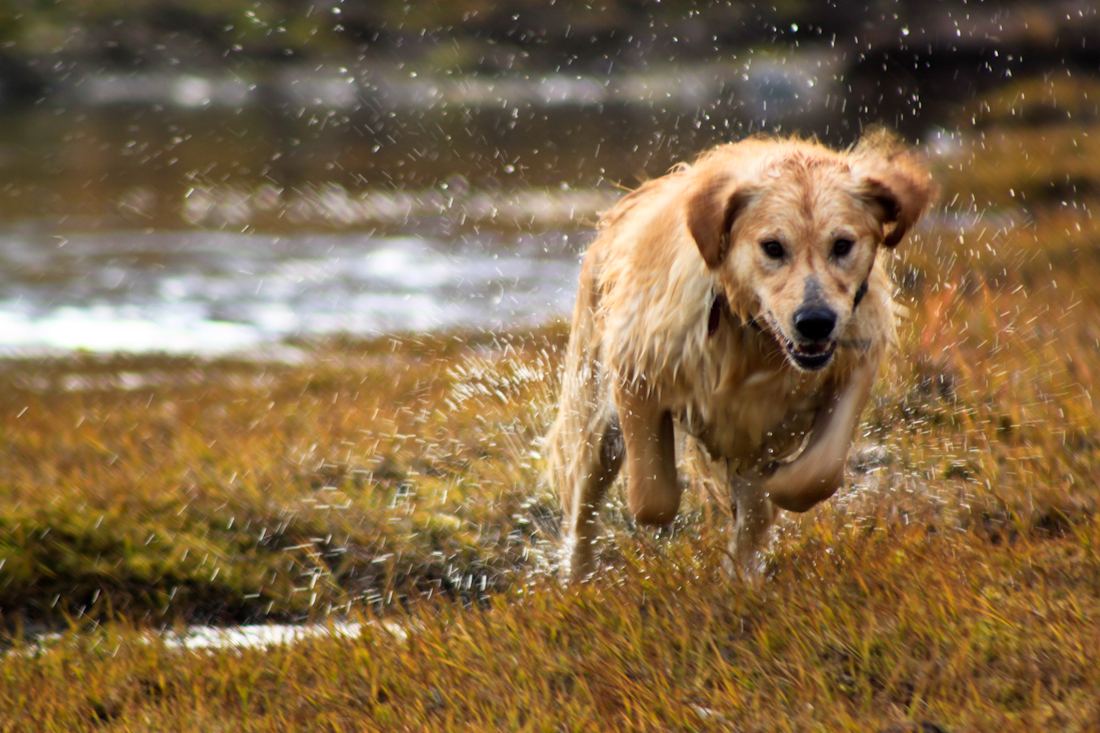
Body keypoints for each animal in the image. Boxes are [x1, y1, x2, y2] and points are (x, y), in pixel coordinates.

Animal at [545, 129, 932, 576]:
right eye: (772, 247)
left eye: (842, 245)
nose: (815, 321)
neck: (753, 334)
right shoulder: (635, 369)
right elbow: (652, 499)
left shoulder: (856, 358)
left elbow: (817, 474)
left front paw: (778, 482)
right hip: (594, 415)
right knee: (583, 500)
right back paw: (578, 576)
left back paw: (740, 574)